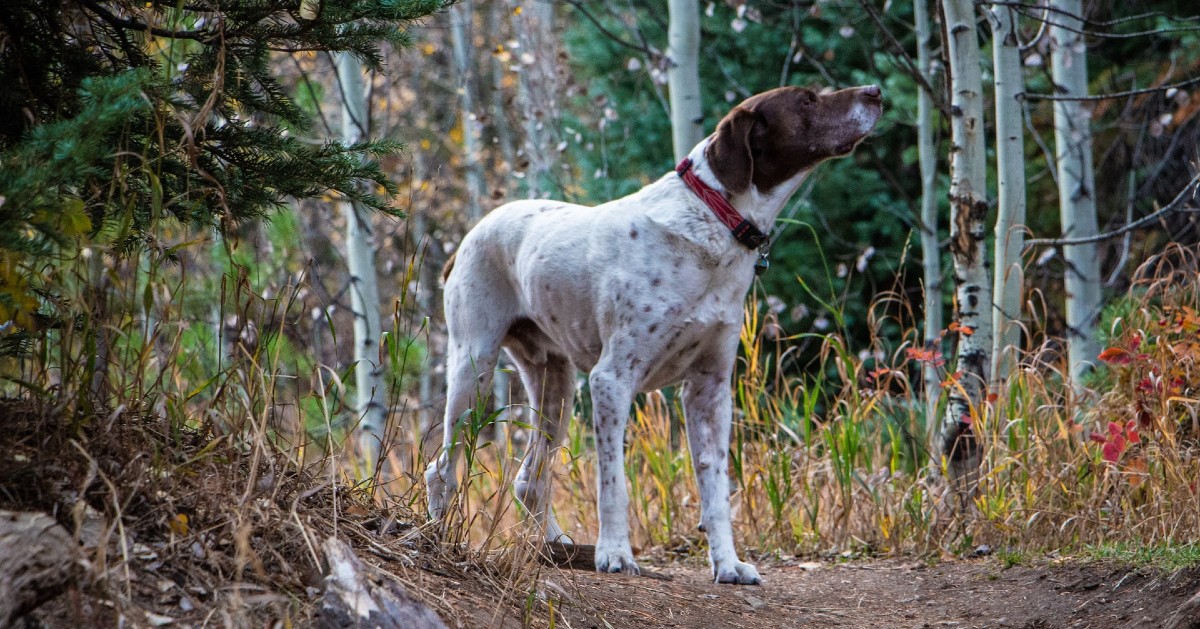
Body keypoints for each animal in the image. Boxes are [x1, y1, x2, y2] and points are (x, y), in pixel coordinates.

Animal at [422, 83, 883, 585]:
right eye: (806, 100)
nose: (875, 91)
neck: (714, 220)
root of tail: (466, 240)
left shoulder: (710, 391)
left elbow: (715, 489)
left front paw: (728, 563)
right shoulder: (611, 380)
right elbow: (613, 483)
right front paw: (615, 554)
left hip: (555, 385)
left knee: (530, 479)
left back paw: (555, 545)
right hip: (473, 367)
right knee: (441, 467)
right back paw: (438, 536)